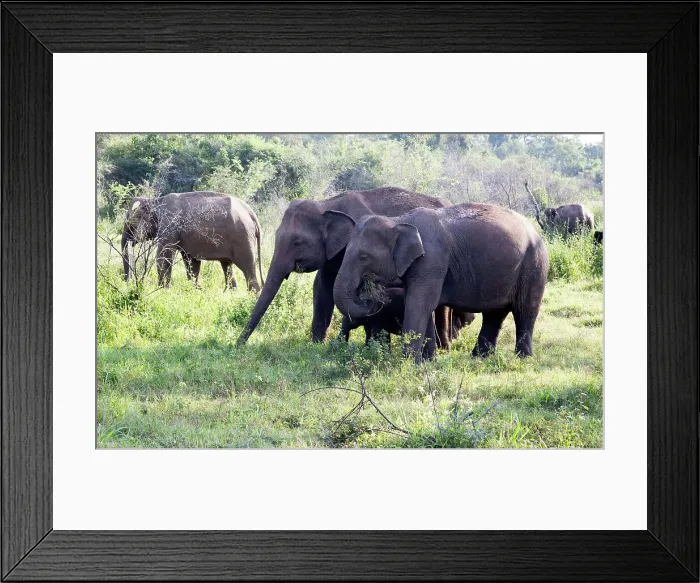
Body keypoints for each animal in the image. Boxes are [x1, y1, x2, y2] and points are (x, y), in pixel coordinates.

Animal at [121, 191, 264, 291]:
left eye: (129, 224)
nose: (128, 282)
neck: (155, 201)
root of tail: (252, 214)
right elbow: (191, 262)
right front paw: (197, 290)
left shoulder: (170, 224)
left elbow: (164, 256)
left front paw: (163, 290)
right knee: (227, 265)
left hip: (242, 238)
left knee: (247, 267)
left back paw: (252, 294)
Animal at [330, 202, 549, 361]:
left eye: (364, 256)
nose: (369, 294)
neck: (399, 220)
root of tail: (536, 232)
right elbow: (423, 305)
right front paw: (428, 361)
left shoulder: (431, 261)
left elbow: (420, 303)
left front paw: (407, 363)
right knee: (494, 314)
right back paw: (479, 357)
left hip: (534, 265)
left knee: (524, 310)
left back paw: (523, 358)